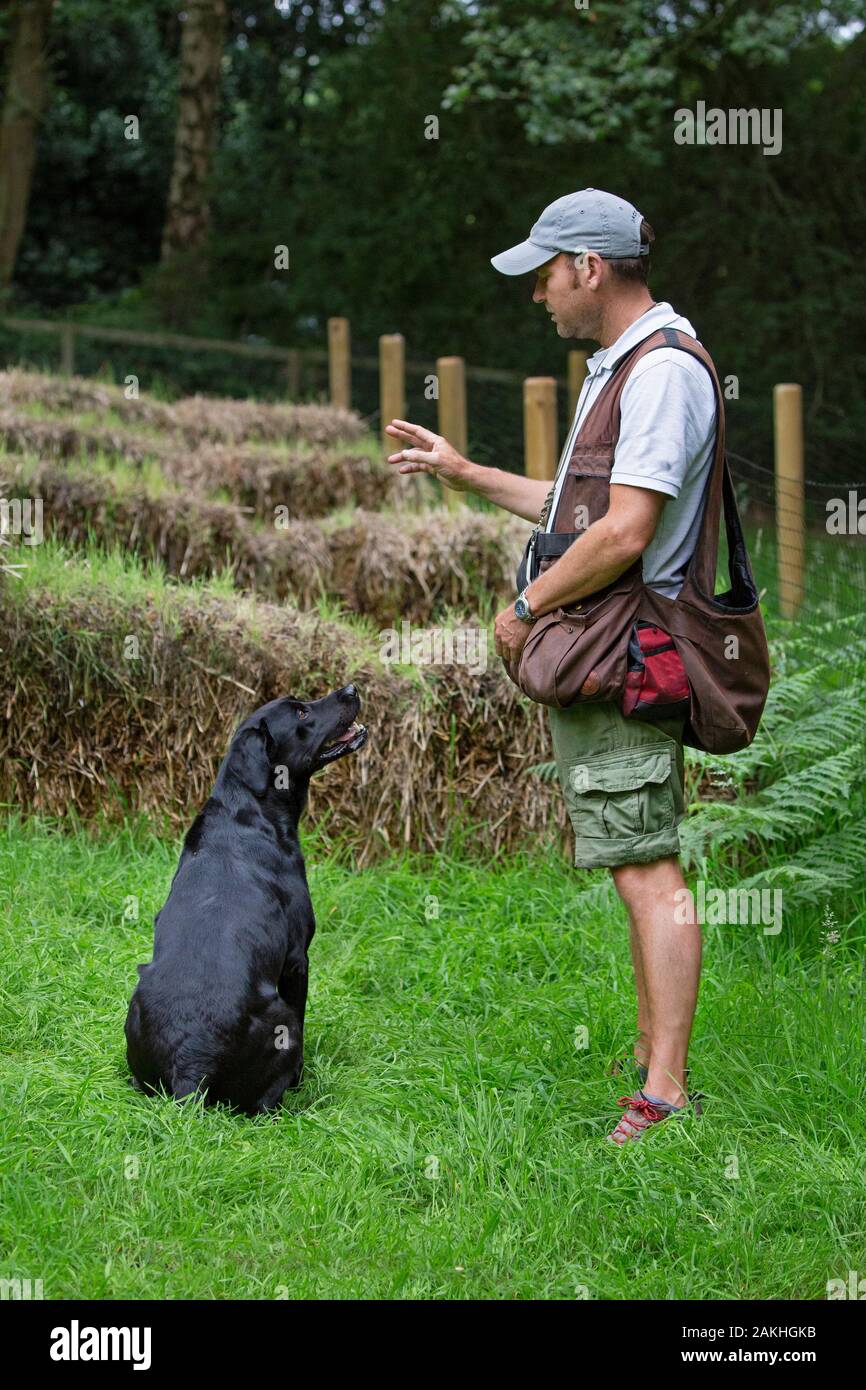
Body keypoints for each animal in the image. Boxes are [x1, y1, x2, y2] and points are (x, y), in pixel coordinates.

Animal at [123, 678, 366, 1112]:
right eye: (301, 712)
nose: (352, 688)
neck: (249, 812)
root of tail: (190, 1071)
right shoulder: (297, 959)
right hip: (282, 1023)